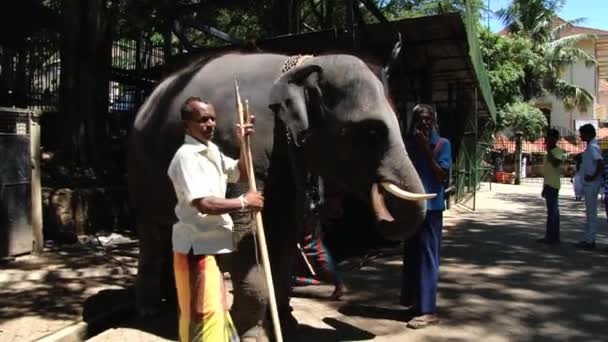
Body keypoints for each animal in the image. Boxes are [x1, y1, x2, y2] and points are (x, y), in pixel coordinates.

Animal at [127, 52, 432, 338]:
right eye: (371, 131)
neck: (299, 68)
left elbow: (285, 235)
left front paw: (287, 325)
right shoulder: (237, 144)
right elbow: (247, 234)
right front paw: (251, 335)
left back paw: (177, 306)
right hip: (140, 168)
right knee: (153, 233)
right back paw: (151, 310)